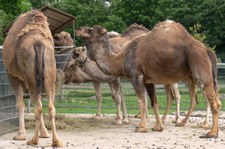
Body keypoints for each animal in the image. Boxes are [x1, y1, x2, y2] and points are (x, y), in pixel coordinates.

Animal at [2, 10, 62, 147]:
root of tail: (38, 43)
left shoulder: (12, 76)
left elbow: (20, 104)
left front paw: (20, 135)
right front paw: (44, 133)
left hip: (30, 76)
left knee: (38, 106)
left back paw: (33, 140)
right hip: (49, 73)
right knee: (50, 105)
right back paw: (56, 141)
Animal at [75, 20, 221, 139]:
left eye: (90, 30)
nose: (78, 29)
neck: (120, 58)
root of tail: (207, 50)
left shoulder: (136, 76)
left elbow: (141, 100)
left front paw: (141, 127)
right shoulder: (148, 80)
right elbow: (153, 102)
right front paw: (158, 127)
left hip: (198, 67)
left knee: (212, 101)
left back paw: (211, 132)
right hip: (191, 76)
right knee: (202, 100)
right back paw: (188, 124)